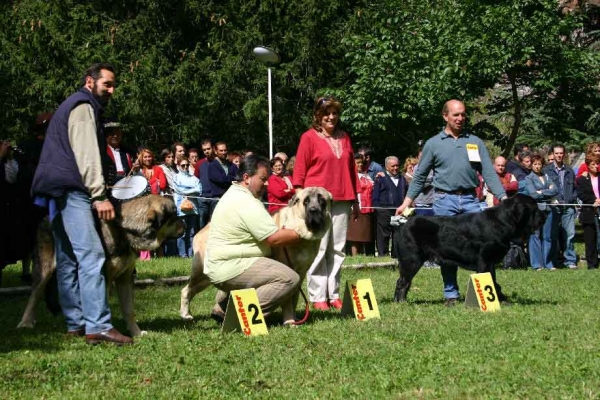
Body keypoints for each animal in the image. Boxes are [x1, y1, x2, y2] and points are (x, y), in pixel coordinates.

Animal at [18, 195, 183, 336]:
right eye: (174, 216)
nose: (185, 223)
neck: (125, 230)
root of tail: (45, 218)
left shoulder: (125, 277)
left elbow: (129, 310)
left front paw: (136, 333)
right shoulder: (104, 278)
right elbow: (104, 306)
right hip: (44, 269)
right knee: (34, 295)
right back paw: (26, 322)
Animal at [180, 188, 332, 324]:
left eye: (322, 201)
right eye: (306, 201)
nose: (313, 210)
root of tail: (203, 229)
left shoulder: (301, 274)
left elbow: (294, 299)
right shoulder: (292, 271)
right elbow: (288, 301)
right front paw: (290, 322)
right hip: (201, 274)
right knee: (186, 290)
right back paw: (186, 315)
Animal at [394, 195, 548, 304]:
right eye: (534, 209)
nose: (545, 215)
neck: (501, 222)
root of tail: (404, 225)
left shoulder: (491, 262)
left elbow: (493, 280)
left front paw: (500, 298)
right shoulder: (484, 260)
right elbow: (489, 279)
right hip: (412, 259)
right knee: (402, 282)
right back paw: (401, 302)